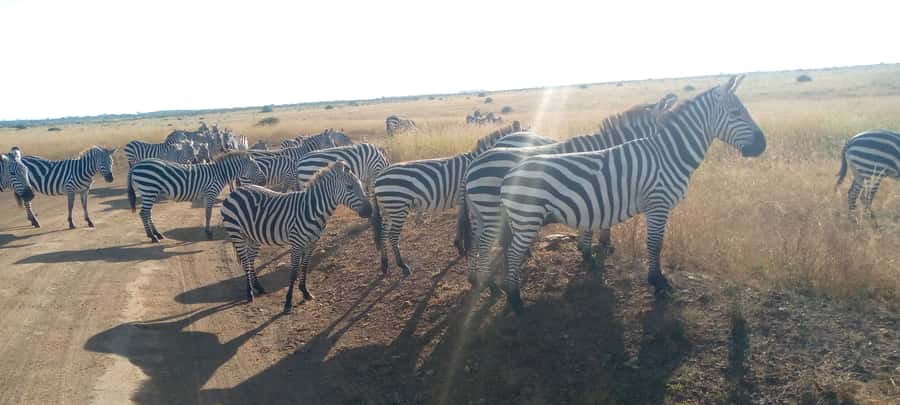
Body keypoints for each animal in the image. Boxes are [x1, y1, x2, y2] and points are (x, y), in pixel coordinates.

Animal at [127, 151, 266, 242]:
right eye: (256, 167)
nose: (264, 181)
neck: (220, 173)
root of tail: (136, 165)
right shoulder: (211, 193)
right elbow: (208, 214)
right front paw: (209, 233)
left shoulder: (206, 195)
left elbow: (206, 213)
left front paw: (207, 231)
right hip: (148, 189)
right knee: (143, 213)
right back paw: (152, 237)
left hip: (149, 192)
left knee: (147, 213)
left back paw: (157, 234)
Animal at [221, 161, 373, 313]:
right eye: (349, 187)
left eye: (360, 184)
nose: (370, 211)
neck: (312, 210)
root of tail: (236, 191)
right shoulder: (297, 244)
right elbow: (293, 271)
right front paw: (288, 302)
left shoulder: (312, 243)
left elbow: (304, 267)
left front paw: (305, 292)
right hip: (237, 233)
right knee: (246, 261)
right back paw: (249, 293)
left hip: (253, 236)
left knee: (250, 260)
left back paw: (258, 287)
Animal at [370, 121, 554, 275]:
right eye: (535, 140)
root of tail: (378, 178)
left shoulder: (463, 200)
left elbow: (460, 221)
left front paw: (459, 246)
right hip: (397, 207)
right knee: (392, 236)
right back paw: (402, 265)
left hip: (388, 210)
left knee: (383, 234)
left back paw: (385, 264)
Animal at [457, 94, 678, 282]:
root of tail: (471, 166)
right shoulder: (597, 191)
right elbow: (594, 225)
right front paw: (590, 252)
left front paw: (590, 246)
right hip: (493, 208)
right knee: (488, 241)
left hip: (482, 211)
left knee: (478, 239)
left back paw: (476, 278)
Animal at [496, 76, 766, 312]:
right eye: (735, 113)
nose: (763, 145)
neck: (668, 154)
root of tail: (510, 174)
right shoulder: (658, 203)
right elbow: (655, 244)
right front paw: (658, 283)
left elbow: (654, 244)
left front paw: (657, 279)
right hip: (528, 218)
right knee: (513, 253)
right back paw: (515, 300)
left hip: (523, 220)